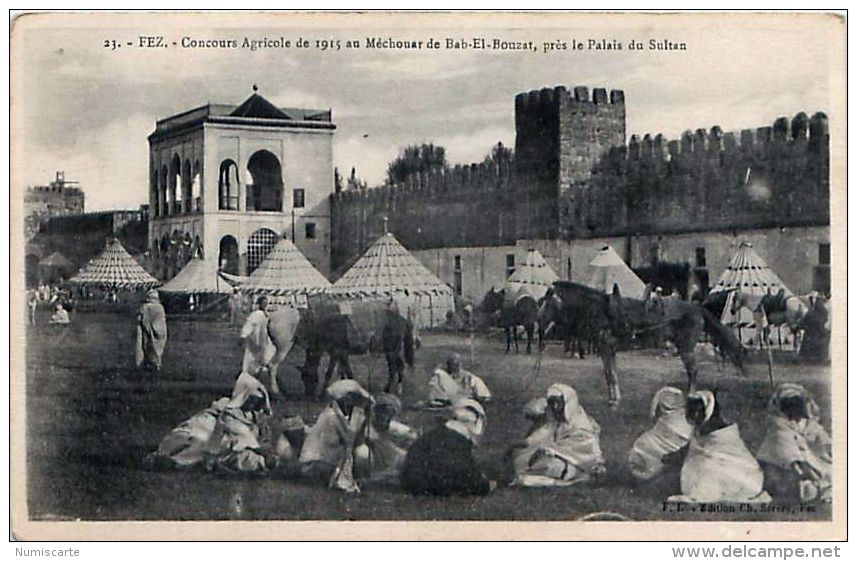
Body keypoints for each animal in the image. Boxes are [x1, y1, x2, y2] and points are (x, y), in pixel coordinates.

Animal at [548, 280, 744, 406]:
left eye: (548, 297)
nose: (543, 318)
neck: (601, 310)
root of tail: (696, 307)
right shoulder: (608, 351)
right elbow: (611, 374)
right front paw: (614, 398)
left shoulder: (606, 349)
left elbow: (610, 374)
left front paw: (614, 401)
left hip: (686, 348)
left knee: (693, 371)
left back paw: (691, 395)